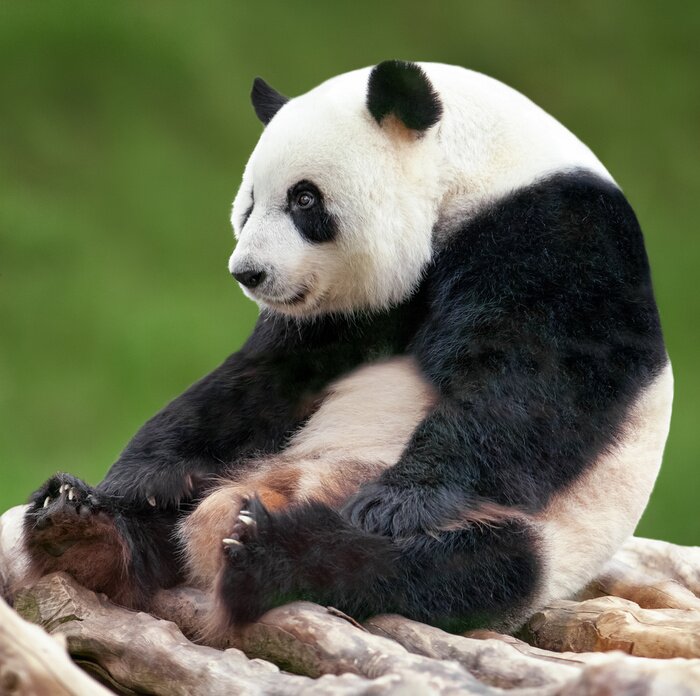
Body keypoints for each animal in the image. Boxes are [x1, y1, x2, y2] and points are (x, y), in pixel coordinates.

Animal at [21, 60, 672, 636]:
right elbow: (263, 378)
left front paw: (399, 500)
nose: (248, 273)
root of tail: (301, 485)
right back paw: (81, 526)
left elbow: (535, 381)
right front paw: (148, 474)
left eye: (304, 200)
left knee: (445, 566)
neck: (476, 172)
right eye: (248, 202)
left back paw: (268, 548)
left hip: (538, 534)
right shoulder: (345, 312)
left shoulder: (562, 238)